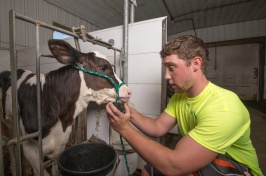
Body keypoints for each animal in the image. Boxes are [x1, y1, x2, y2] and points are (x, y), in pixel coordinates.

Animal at [0, 39, 131, 175]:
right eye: (103, 67)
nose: (128, 91)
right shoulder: (31, 149)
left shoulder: (60, 144)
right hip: (6, 125)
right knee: (11, 144)